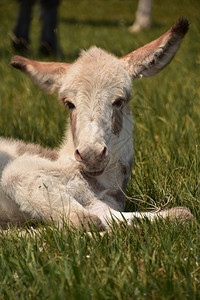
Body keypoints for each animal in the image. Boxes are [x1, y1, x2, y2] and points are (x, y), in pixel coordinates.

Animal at [0, 18, 194, 230]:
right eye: (69, 103)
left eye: (119, 101)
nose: (91, 155)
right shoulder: (20, 172)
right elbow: (86, 221)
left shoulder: (102, 202)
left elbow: (181, 214)